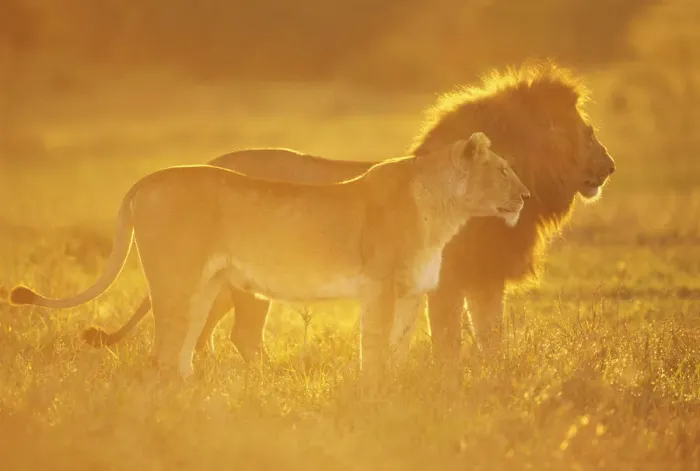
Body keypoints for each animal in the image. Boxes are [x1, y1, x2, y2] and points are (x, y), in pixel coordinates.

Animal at [9, 133, 531, 379]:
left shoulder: (411, 291)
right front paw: (374, 396)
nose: (526, 196)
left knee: (182, 351)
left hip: (206, 287)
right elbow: (376, 348)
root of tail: (149, 178)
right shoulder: (380, 287)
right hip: (176, 282)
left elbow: (400, 349)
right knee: (162, 354)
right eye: (503, 170)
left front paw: (397, 390)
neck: (444, 211)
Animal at [84, 62, 615, 365]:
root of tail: (211, 161)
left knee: (213, 333)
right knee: (225, 334)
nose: (609, 167)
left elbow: (492, 341)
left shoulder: (484, 280)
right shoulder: (447, 281)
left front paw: (492, 386)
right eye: (583, 130)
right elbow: (448, 343)